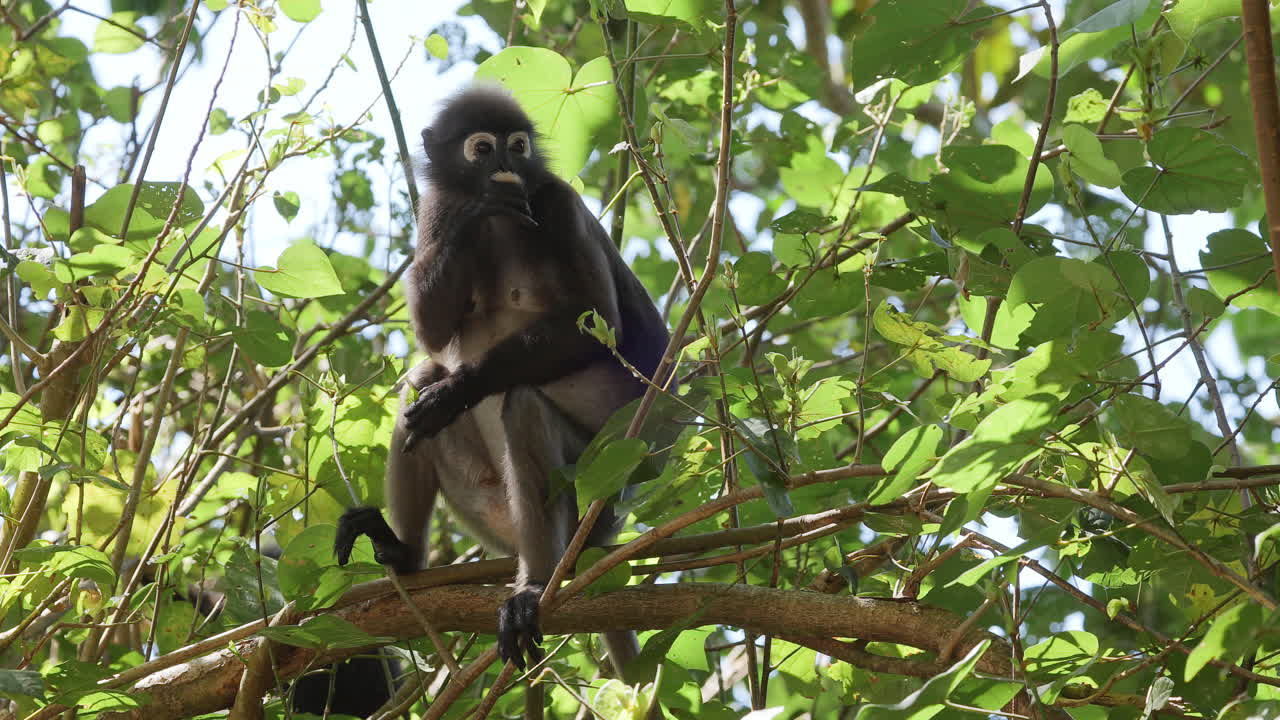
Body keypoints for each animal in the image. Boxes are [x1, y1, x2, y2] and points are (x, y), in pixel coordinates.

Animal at [334, 86, 670, 679]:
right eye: (482, 148)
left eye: (517, 146)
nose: (505, 169)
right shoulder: (438, 209)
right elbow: (431, 333)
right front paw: (479, 209)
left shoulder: (559, 204)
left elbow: (597, 323)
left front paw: (459, 392)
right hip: (490, 513)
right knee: (420, 379)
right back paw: (404, 555)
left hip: (598, 490)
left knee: (522, 405)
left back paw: (535, 586)